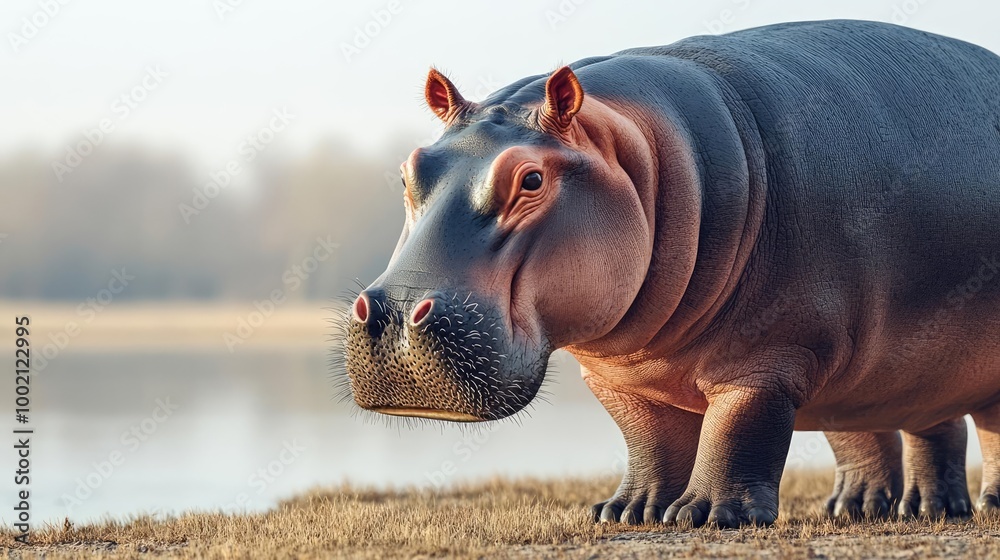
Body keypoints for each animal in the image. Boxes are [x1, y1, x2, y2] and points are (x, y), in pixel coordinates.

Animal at [339, 19, 1000, 527]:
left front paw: (708, 516)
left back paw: (981, 506)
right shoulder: (620, 376)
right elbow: (648, 440)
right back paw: (879, 509)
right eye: (411, 169)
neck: (646, 155)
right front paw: (625, 512)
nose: (397, 313)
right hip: (880, 372)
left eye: (530, 178)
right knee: (912, 428)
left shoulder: (765, 359)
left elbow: (736, 431)